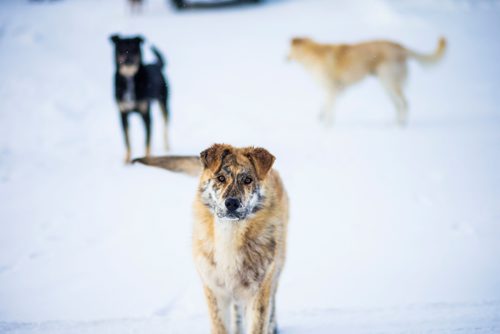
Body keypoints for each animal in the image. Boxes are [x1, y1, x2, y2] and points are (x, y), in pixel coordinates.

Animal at [108, 34, 169, 163]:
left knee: (165, 127)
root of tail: (155, 65)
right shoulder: (123, 114)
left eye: (134, 49)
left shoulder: (146, 115)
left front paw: (147, 160)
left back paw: (167, 148)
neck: (129, 76)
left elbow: (147, 141)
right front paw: (127, 160)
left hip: (164, 103)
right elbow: (127, 140)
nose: (128, 59)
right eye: (121, 49)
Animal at [134, 145, 290, 334]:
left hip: (276, 268)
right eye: (220, 178)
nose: (232, 203)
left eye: (248, 180)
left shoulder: (258, 291)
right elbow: (220, 326)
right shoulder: (215, 291)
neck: (229, 234)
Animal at [288, 36, 448, 125]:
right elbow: (325, 108)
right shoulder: (337, 90)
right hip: (387, 86)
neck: (312, 52)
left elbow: (328, 110)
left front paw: (326, 126)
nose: (285, 57)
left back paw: (401, 125)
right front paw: (321, 117)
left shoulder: (331, 89)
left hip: (389, 82)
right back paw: (394, 123)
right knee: (398, 105)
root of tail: (401, 47)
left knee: (404, 103)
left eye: (288, 49)